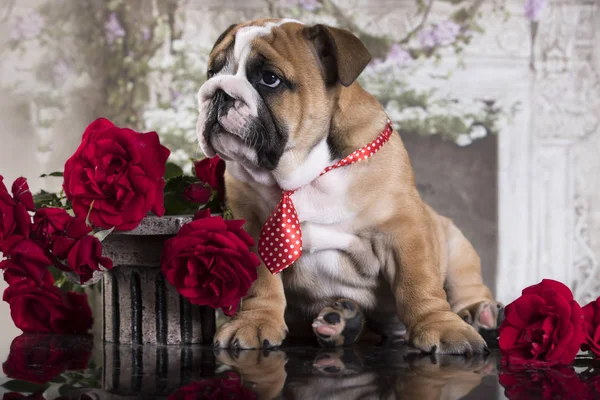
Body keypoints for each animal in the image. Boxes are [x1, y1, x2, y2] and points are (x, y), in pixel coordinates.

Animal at [198, 18, 502, 354]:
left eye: (269, 79)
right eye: (212, 72)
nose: (218, 92)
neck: (305, 175)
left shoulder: (404, 229)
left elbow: (419, 281)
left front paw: (441, 325)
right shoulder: (253, 228)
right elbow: (261, 282)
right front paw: (254, 320)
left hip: (456, 243)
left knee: (466, 285)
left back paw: (480, 312)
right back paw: (342, 320)